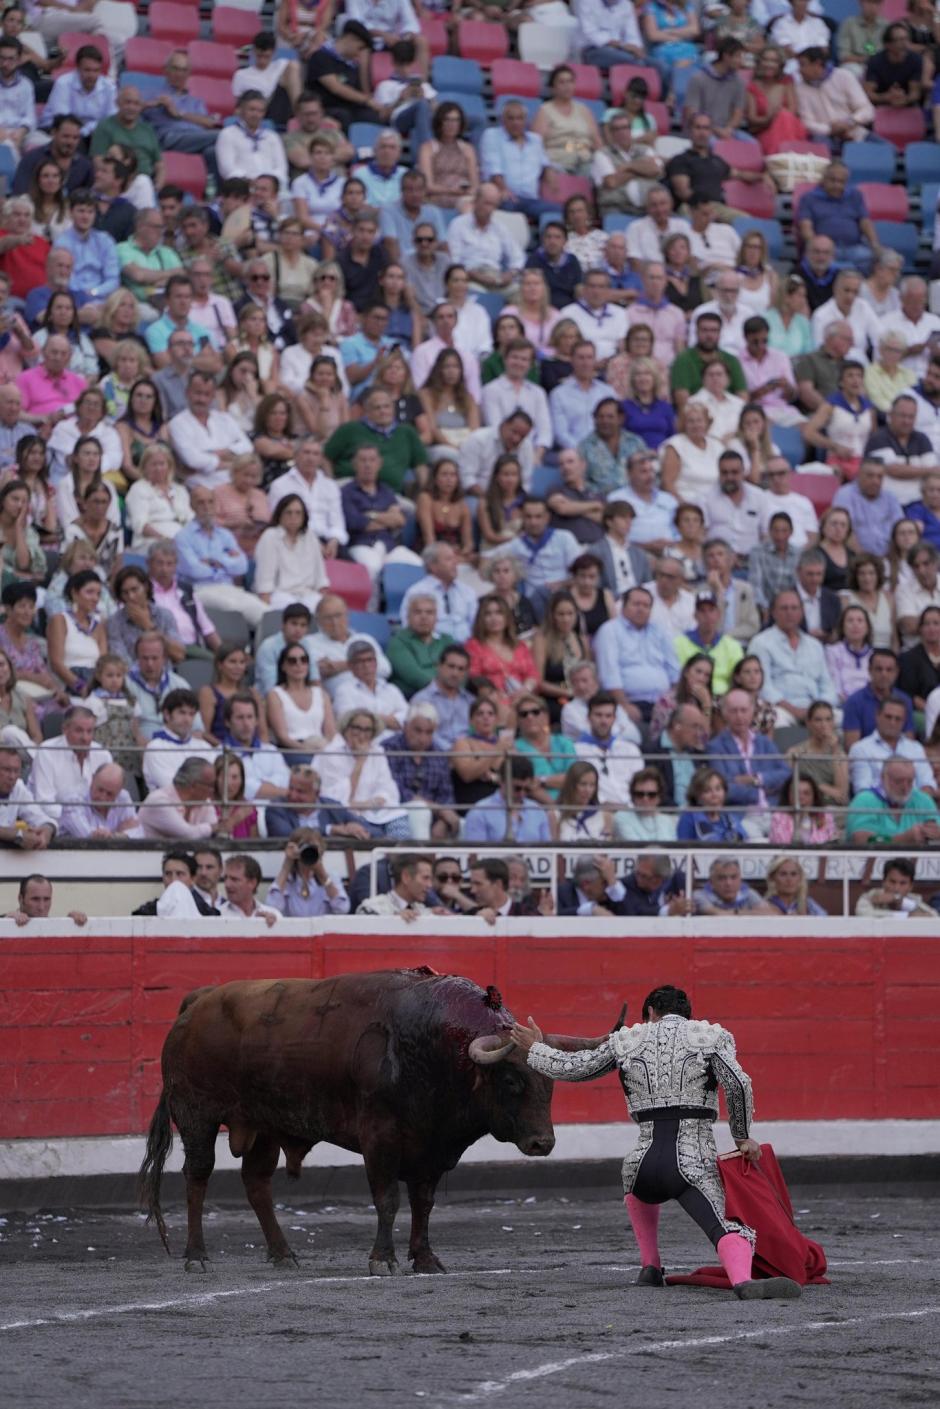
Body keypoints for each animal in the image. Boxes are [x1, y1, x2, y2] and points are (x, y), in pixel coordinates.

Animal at [139, 969, 611, 1279]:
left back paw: (283, 1253)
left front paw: (425, 1259)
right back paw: (197, 1255)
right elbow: (388, 1200)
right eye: (511, 1081)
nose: (543, 1143)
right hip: (197, 1114)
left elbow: (423, 1204)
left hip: (263, 1126)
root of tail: (198, 1002)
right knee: (197, 1177)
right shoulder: (380, 1140)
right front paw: (383, 1259)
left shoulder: (431, 1148)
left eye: (549, 1083)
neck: (435, 1047)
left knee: (256, 1183)